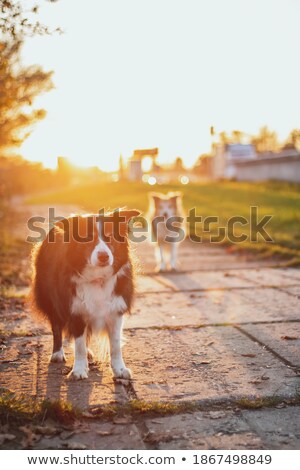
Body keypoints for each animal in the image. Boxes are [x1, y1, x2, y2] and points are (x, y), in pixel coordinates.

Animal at [32, 211, 140, 380]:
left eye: (110, 235)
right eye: (87, 237)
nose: (103, 256)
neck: (97, 278)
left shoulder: (115, 310)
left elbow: (115, 345)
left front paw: (120, 369)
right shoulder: (75, 310)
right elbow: (79, 345)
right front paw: (79, 370)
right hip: (50, 299)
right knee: (56, 326)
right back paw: (57, 353)